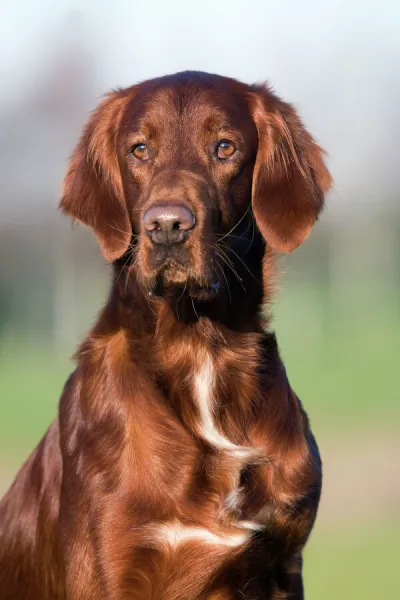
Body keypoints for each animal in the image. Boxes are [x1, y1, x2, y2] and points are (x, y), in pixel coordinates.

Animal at [0, 72, 332, 596]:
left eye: (224, 147)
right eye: (139, 149)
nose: (168, 226)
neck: (198, 346)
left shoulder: (282, 563)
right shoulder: (111, 563)